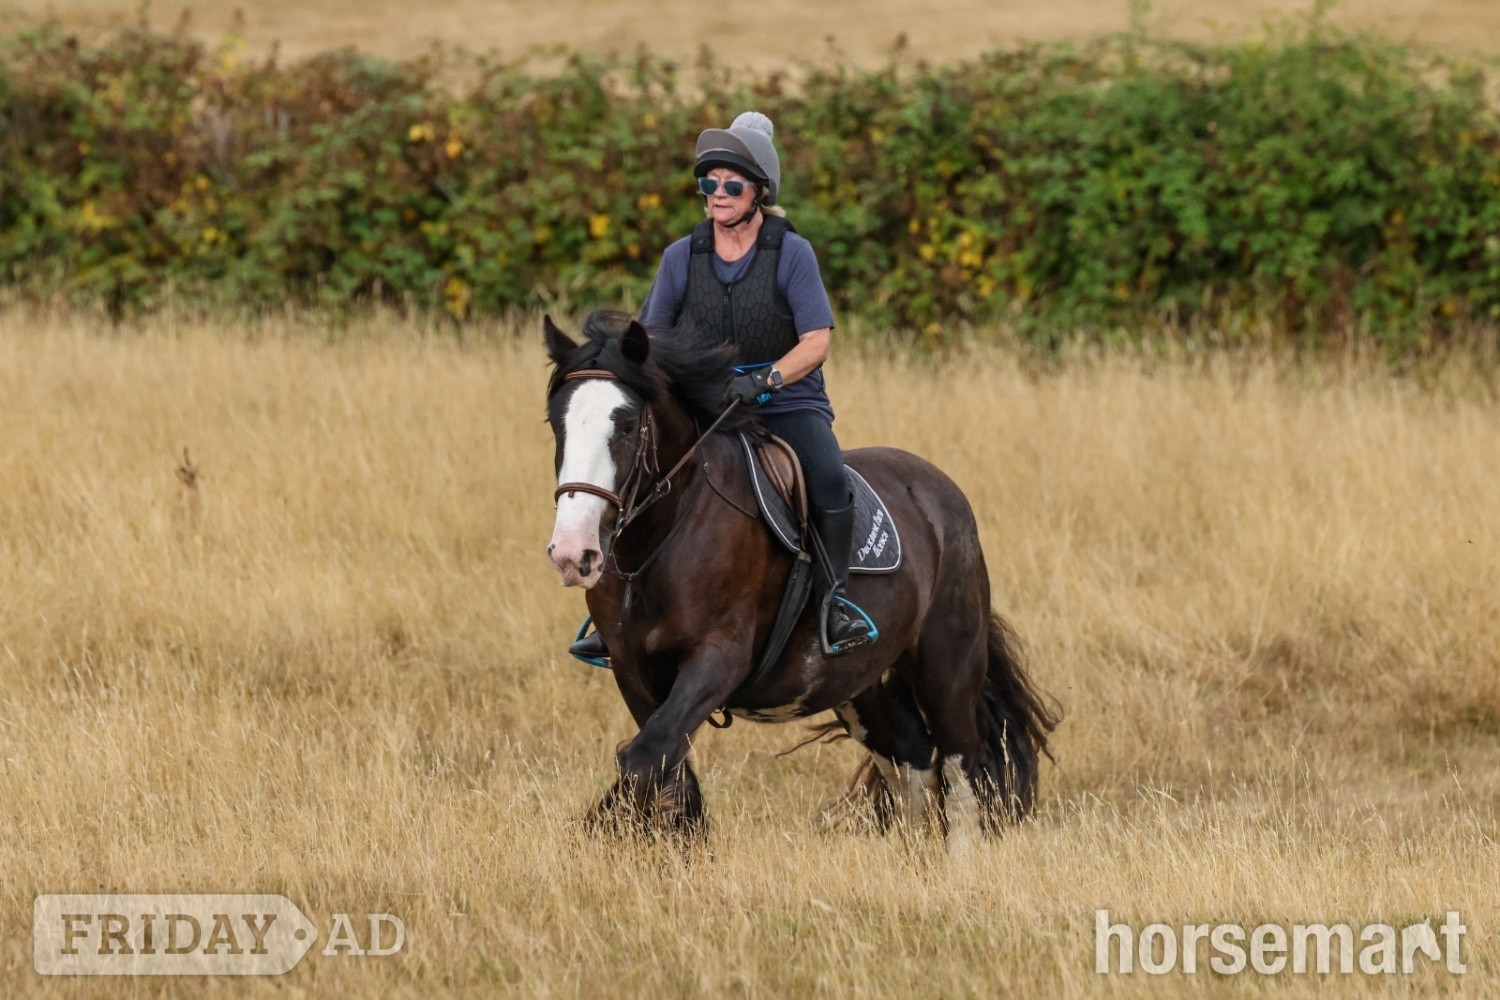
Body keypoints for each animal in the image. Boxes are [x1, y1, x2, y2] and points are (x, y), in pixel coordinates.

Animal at [543, 310, 1058, 843]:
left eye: (626, 425)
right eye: (555, 423)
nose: (573, 554)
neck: (661, 540)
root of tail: (944, 494)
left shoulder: (719, 658)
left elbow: (646, 756)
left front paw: (597, 829)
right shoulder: (632, 669)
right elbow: (668, 769)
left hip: (947, 664)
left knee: (961, 766)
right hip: (858, 684)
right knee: (910, 755)